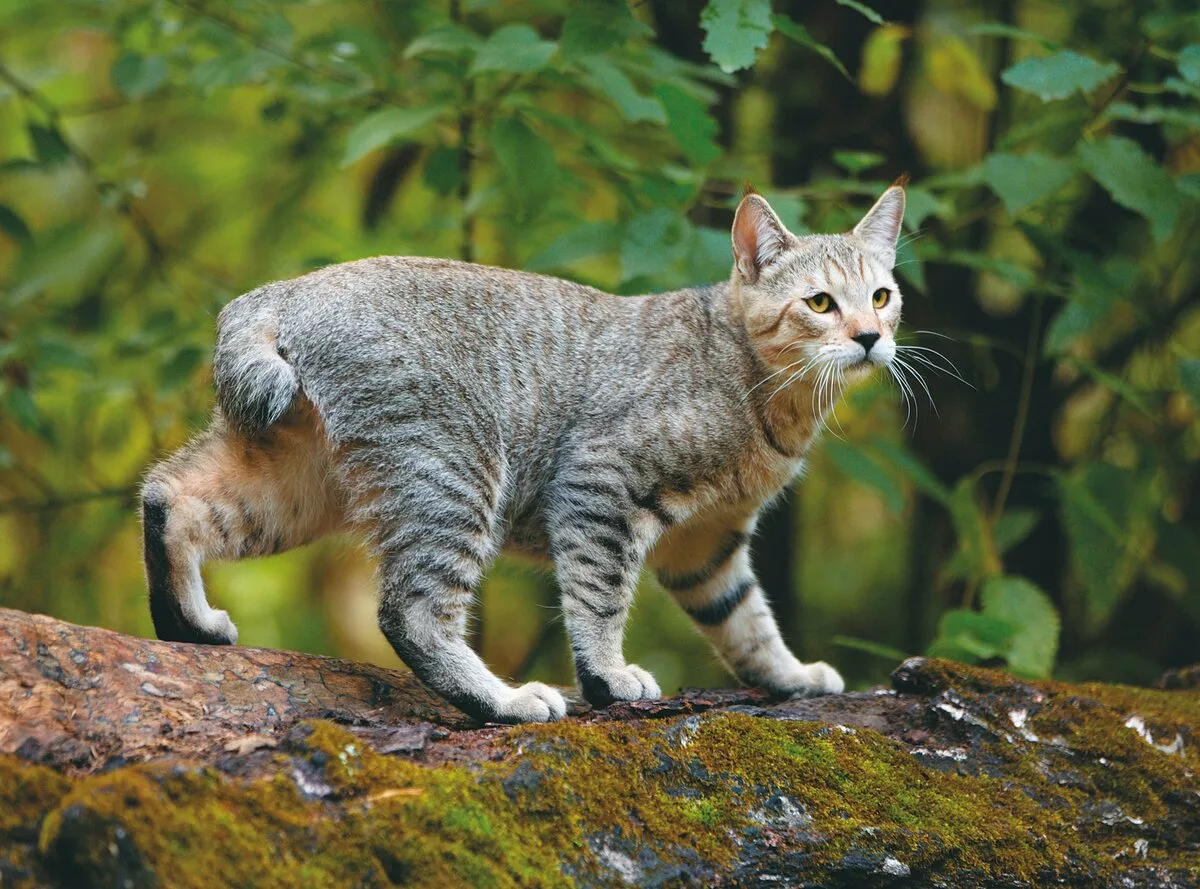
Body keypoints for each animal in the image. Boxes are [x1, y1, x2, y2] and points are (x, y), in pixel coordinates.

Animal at [140, 178, 902, 719]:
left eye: (882, 295)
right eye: (821, 303)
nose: (871, 337)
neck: (762, 388)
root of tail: (282, 291)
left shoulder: (708, 544)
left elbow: (747, 621)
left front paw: (792, 676)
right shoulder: (601, 482)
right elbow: (599, 595)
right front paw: (608, 677)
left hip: (296, 483)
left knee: (170, 495)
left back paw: (187, 622)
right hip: (453, 472)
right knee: (410, 610)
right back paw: (504, 701)